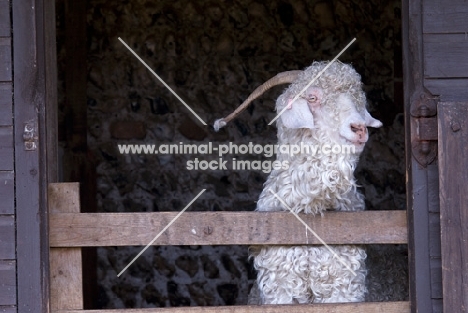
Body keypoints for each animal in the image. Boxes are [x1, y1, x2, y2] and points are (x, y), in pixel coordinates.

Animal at [214, 60, 382, 302]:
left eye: (358, 100)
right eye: (312, 98)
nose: (358, 128)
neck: (310, 211)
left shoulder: (343, 282)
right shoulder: (281, 281)